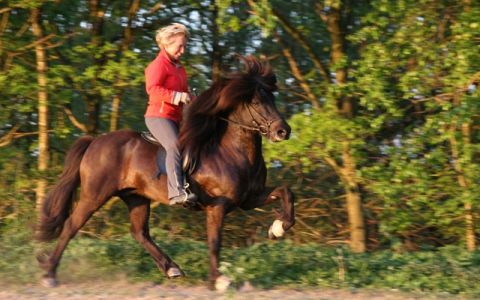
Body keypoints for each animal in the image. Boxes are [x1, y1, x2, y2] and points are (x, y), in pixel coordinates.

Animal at [35, 54, 294, 290]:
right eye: (256, 102)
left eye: (272, 98)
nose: (283, 131)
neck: (231, 151)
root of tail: (94, 142)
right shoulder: (217, 206)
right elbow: (214, 242)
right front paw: (217, 281)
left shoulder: (249, 198)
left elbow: (286, 192)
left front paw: (277, 228)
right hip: (94, 195)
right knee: (71, 226)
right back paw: (49, 274)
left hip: (136, 197)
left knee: (139, 232)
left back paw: (172, 268)